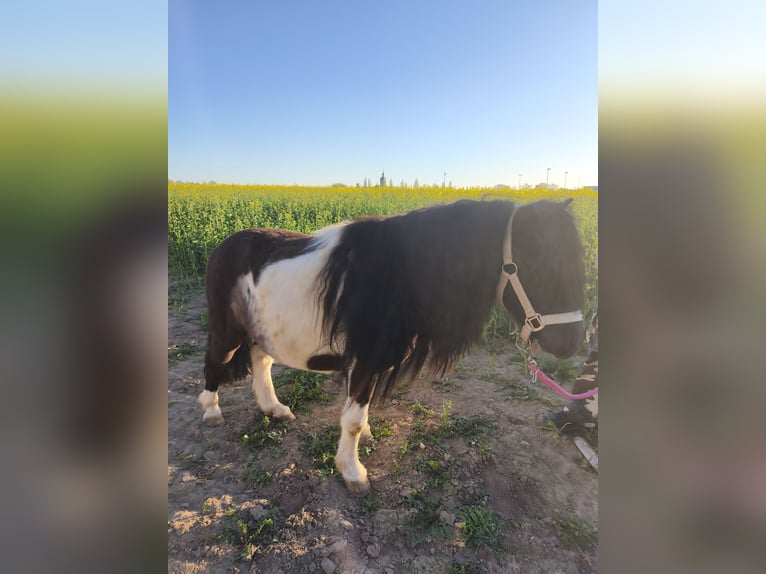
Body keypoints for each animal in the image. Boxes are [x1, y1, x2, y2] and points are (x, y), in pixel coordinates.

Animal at [198, 198, 585, 494]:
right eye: (537, 264)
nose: (571, 344)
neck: (400, 276)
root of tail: (222, 246)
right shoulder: (367, 356)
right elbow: (353, 419)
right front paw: (353, 472)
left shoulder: (371, 361)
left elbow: (360, 410)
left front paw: (364, 441)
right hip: (228, 329)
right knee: (216, 359)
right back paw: (212, 411)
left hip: (261, 330)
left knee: (260, 361)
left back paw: (274, 408)